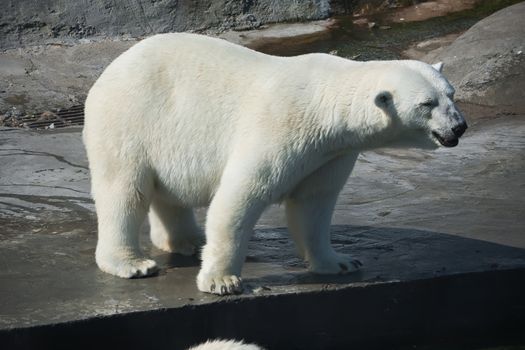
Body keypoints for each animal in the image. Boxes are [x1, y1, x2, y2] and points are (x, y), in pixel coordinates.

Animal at [82, 33, 466, 296]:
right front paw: (221, 281)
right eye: (426, 104)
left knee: (168, 192)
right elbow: (239, 198)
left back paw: (189, 241)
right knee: (124, 191)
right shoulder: (280, 127)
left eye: (452, 94)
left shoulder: (330, 153)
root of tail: (112, 68)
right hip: (129, 119)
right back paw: (131, 263)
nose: (459, 126)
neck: (326, 103)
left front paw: (339, 262)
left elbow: (313, 205)